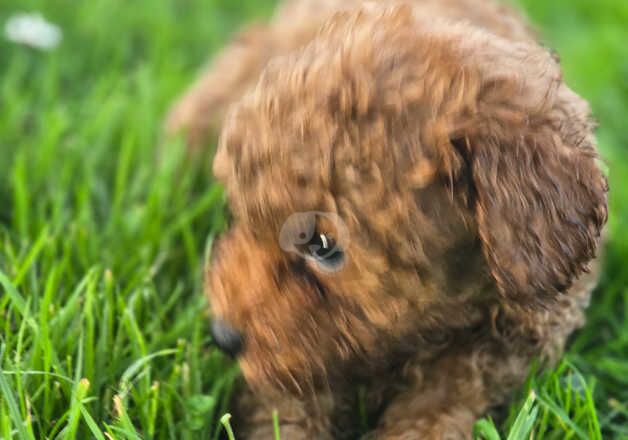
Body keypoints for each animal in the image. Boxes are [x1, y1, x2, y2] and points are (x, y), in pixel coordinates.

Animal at [167, 1, 608, 438]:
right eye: (239, 215)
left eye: (322, 246)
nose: (223, 336)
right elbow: (287, 407)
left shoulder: (509, 345)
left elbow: (441, 402)